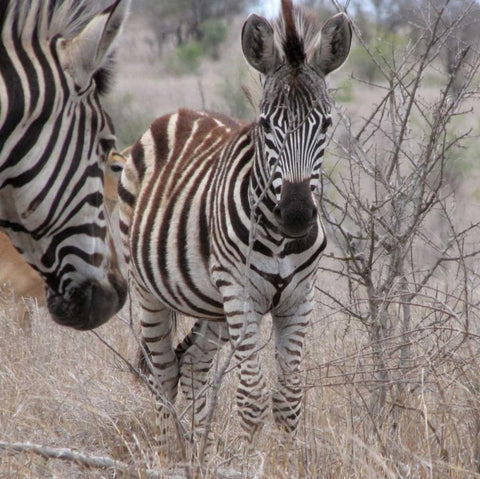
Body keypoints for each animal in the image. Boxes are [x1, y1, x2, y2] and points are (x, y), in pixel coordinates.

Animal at [120, 0, 352, 448]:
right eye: (265, 124)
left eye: (326, 124)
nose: (297, 214)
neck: (280, 239)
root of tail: (179, 113)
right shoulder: (241, 294)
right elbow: (251, 396)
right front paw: (248, 458)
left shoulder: (299, 299)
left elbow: (289, 397)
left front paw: (282, 458)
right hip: (149, 290)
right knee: (162, 373)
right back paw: (167, 452)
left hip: (211, 305)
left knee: (192, 366)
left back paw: (197, 452)